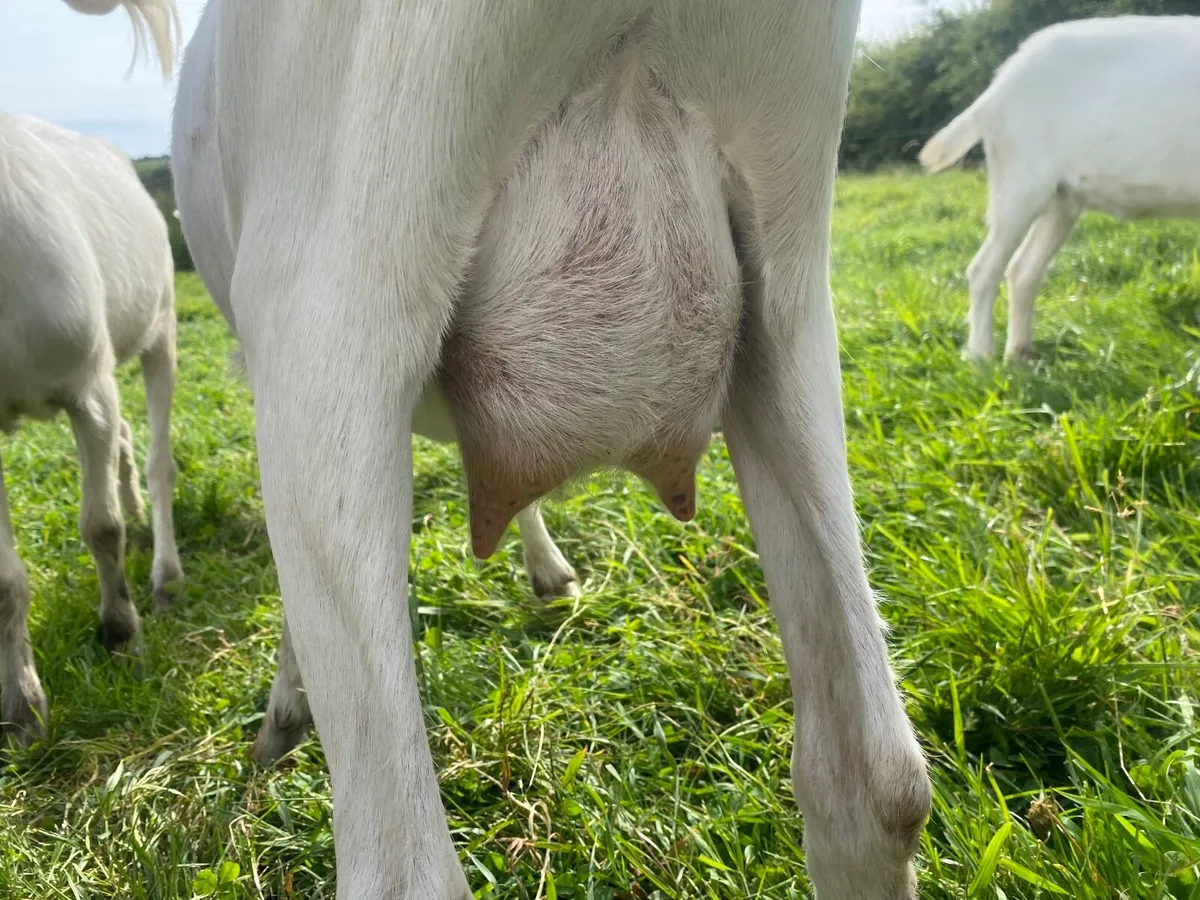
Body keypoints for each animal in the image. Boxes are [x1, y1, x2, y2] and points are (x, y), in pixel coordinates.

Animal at [919, 15, 1200, 362]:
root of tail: (996, 88)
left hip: (1061, 200)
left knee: (1022, 270)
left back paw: (1019, 356)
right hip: (1020, 183)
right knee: (984, 268)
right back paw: (981, 358)